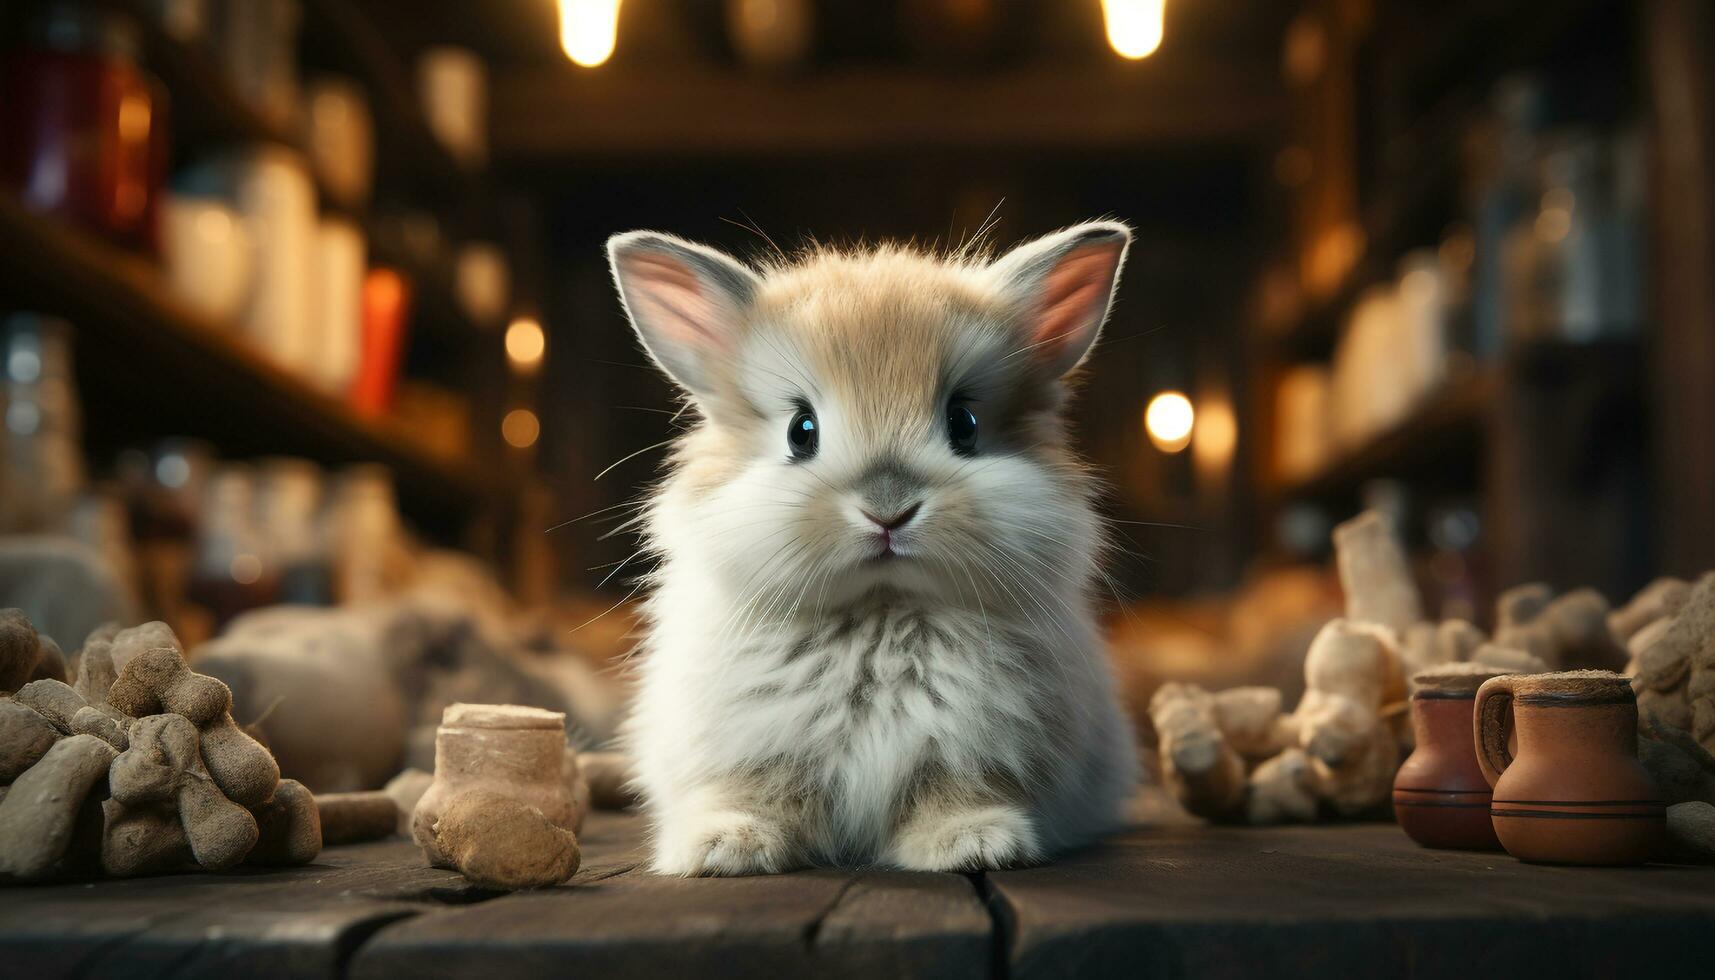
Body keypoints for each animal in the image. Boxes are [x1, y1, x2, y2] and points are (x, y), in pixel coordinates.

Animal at [613, 219, 1138, 875]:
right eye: (801, 432)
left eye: (964, 424)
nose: (889, 509)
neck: (880, 607)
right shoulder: (751, 749)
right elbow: (752, 793)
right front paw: (722, 848)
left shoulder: (972, 751)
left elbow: (954, 792)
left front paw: (974, 842)